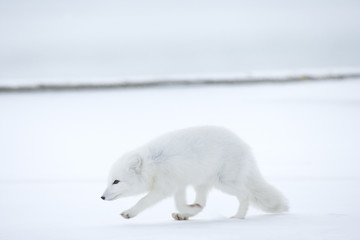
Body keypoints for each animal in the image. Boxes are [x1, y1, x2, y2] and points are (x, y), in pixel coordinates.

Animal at [100, 126, 286, 220]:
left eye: (116, 181)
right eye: (108, 181)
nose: (101, 197)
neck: (152, 164)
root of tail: (245, 146)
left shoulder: (164, 188)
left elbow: (143, 200)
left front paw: (129, 212)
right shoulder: (178, 185)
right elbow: (181, 204)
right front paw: (189, 210)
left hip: (223, 182)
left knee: (245, 194)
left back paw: (238, 217)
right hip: (202, 183)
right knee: (203, 202)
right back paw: (187, 213)